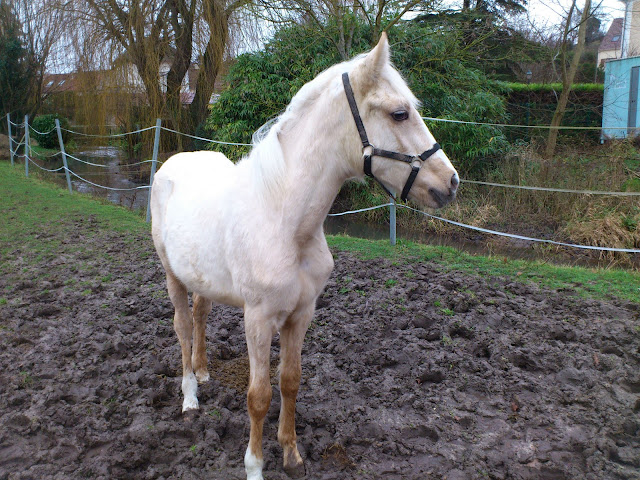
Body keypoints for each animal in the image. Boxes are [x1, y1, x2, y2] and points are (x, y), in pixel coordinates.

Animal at [150, 31, 460, 478]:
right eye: (399, 114)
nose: (450, 182)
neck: (285, 222)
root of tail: (173, 162)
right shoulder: (259, 319)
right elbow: (259, 395)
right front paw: (255, 466)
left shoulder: (301, 315)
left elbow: (290, 382)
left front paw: (292, 455)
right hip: (172, 276)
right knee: (182, 326)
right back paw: (190, 397)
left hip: (202, 279)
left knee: (200, 316)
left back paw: (204, 372)